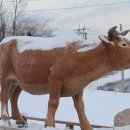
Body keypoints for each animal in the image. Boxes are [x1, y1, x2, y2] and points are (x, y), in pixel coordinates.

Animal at [0, 26, 130, 130]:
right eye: (123, 44)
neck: (78, 55)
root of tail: (5, 41)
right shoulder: (54, 80)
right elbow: (53, 103)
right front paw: (49, 125)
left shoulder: (78, 85)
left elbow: (80, 106)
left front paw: (87, 127)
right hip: (5, 77)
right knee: (4, 96)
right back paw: (6, 122)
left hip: (19, 81)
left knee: (13, 97)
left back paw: (20, 120)